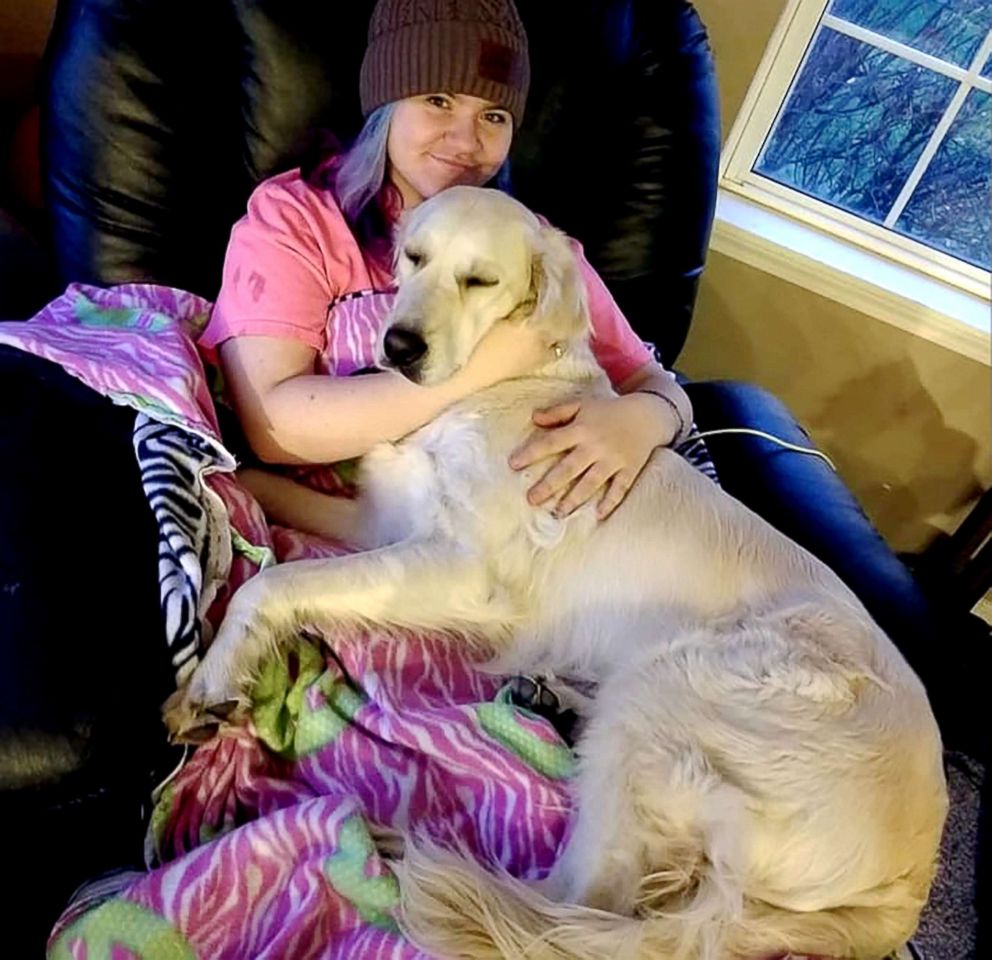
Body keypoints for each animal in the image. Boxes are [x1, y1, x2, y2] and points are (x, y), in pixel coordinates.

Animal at [167, 184, 948, 956]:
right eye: (413, 257)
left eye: (480, 281)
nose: (398, 346)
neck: (500, 382)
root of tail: (901, 888)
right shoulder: (384, 519)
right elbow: (281, 500)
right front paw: (235, 468)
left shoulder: (462, 568)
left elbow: (277, 582)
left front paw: (211, 679)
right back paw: (549, 698)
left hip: (670, 691)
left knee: (574, 909)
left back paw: (402, 844)